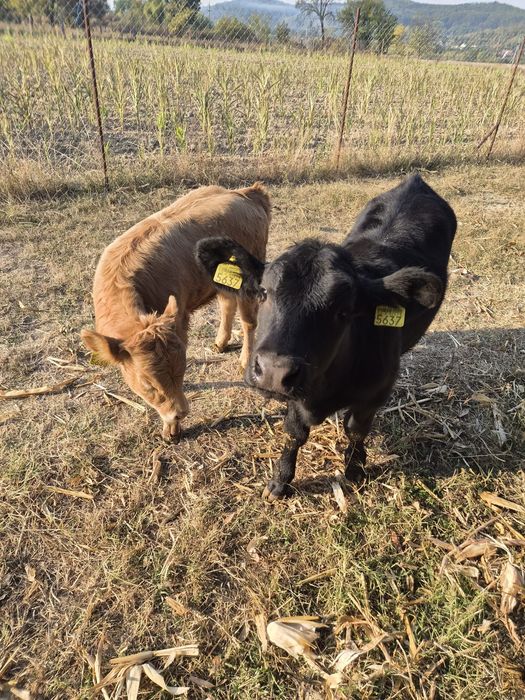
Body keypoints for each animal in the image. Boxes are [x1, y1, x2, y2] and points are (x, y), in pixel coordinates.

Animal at [81, 183, 271, 441]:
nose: (181, 413)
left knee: (248, 321)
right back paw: (220, 342)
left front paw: (171, 429)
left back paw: (244, 359)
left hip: (247, 277)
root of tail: (243, 192)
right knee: (227, 304)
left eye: (182, 370)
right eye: (148, 384)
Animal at [196, 174, 457, 500]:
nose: (273, 371)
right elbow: (295, 433)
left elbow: (356, 430)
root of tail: (415, 180)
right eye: (263, 292)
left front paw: (354, 469)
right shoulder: (296, 393)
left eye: (343, 311)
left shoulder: (375, 393)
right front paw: (280, 480)